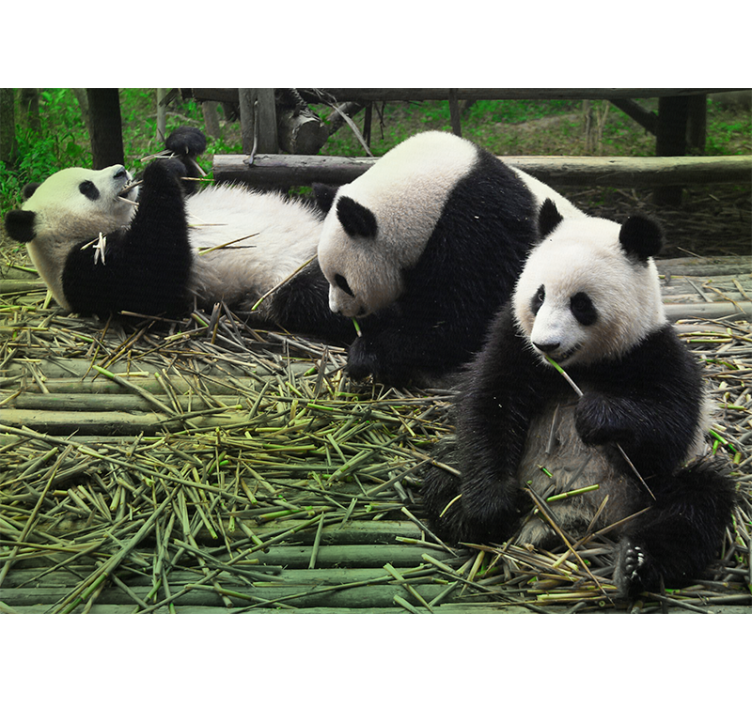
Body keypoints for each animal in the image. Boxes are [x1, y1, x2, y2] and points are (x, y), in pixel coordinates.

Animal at [2, 127, 354, 344]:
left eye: (88, 172)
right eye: (86, 187)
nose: (121, 170)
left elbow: (186, 184)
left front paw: (179, 145)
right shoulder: (85, 270)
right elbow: (151, 275)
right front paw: (156, 171)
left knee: (328, 200)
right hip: (275, 285)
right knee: (317, 299)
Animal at [422, 199, 737, 598]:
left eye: (581, 304)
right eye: (539, 296)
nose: (546, 345)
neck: (581, 366)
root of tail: (568, 515)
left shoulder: (656, 352)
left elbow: (670, 426)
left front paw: (597, 416)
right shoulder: (514, 343)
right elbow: (489, 405)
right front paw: (489, 508)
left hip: (644, 493)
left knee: (698, 502)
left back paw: (637, 562)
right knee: (444, 470)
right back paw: (468, 520)